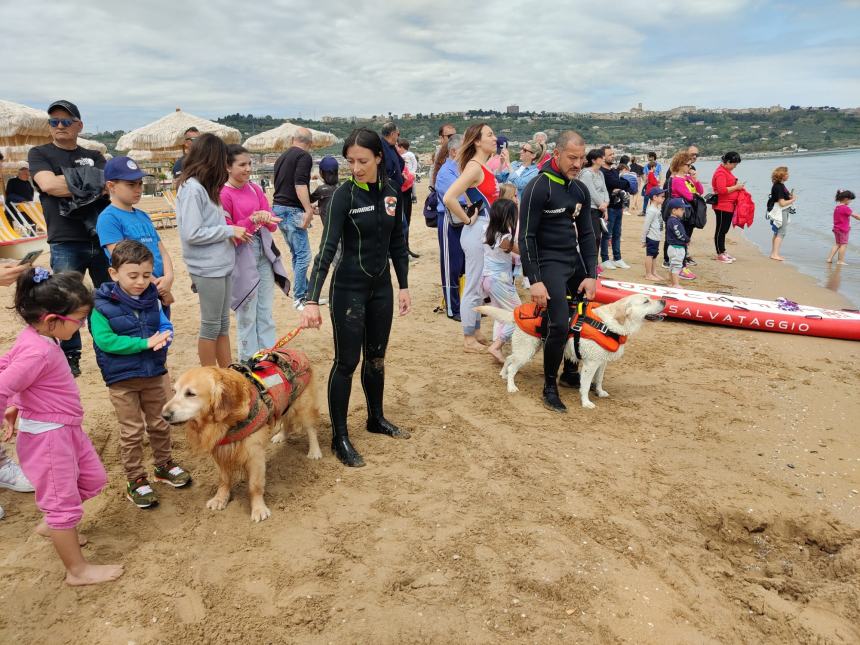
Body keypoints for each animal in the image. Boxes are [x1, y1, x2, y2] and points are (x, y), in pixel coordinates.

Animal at [478, 294, 664, 408]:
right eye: (646, 301)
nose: (664, 300)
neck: (609, 325)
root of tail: (515, 312)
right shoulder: (591, 364)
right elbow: (586, 384)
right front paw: (586, 402)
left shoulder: (602, 362)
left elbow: (599, 380)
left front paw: (600, 392)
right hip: (527, 351)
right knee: (512, 367)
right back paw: (511, 386)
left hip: (528, 348)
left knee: (510, 359)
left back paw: (502, 374)